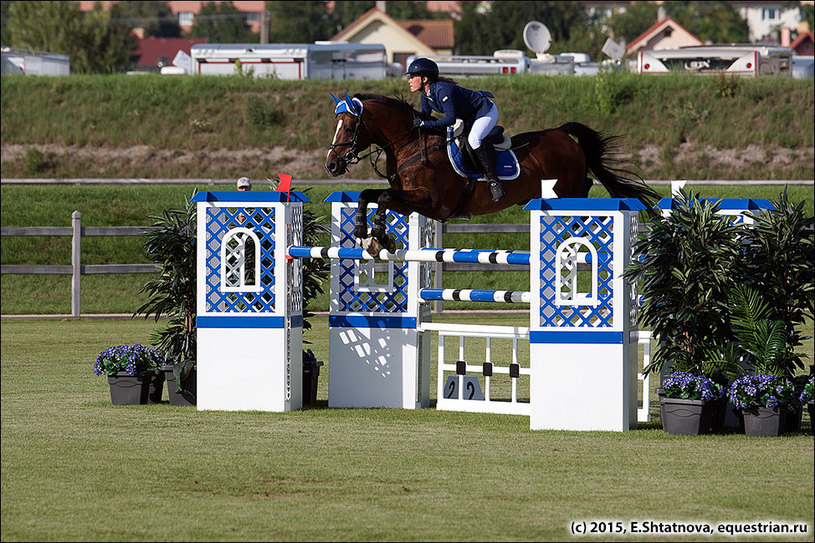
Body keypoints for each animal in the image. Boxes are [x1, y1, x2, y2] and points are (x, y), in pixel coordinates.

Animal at [322, 93, 660, 255]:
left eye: (349, 127)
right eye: (334, 124)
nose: (331, 165)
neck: (409, 144)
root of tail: (561, 132)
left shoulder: (432, 202)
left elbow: (384, 197)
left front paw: (380, 236)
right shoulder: (408, 201)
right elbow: (369, 195)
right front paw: (365, 232)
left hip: (567, 188)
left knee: (585, 190)